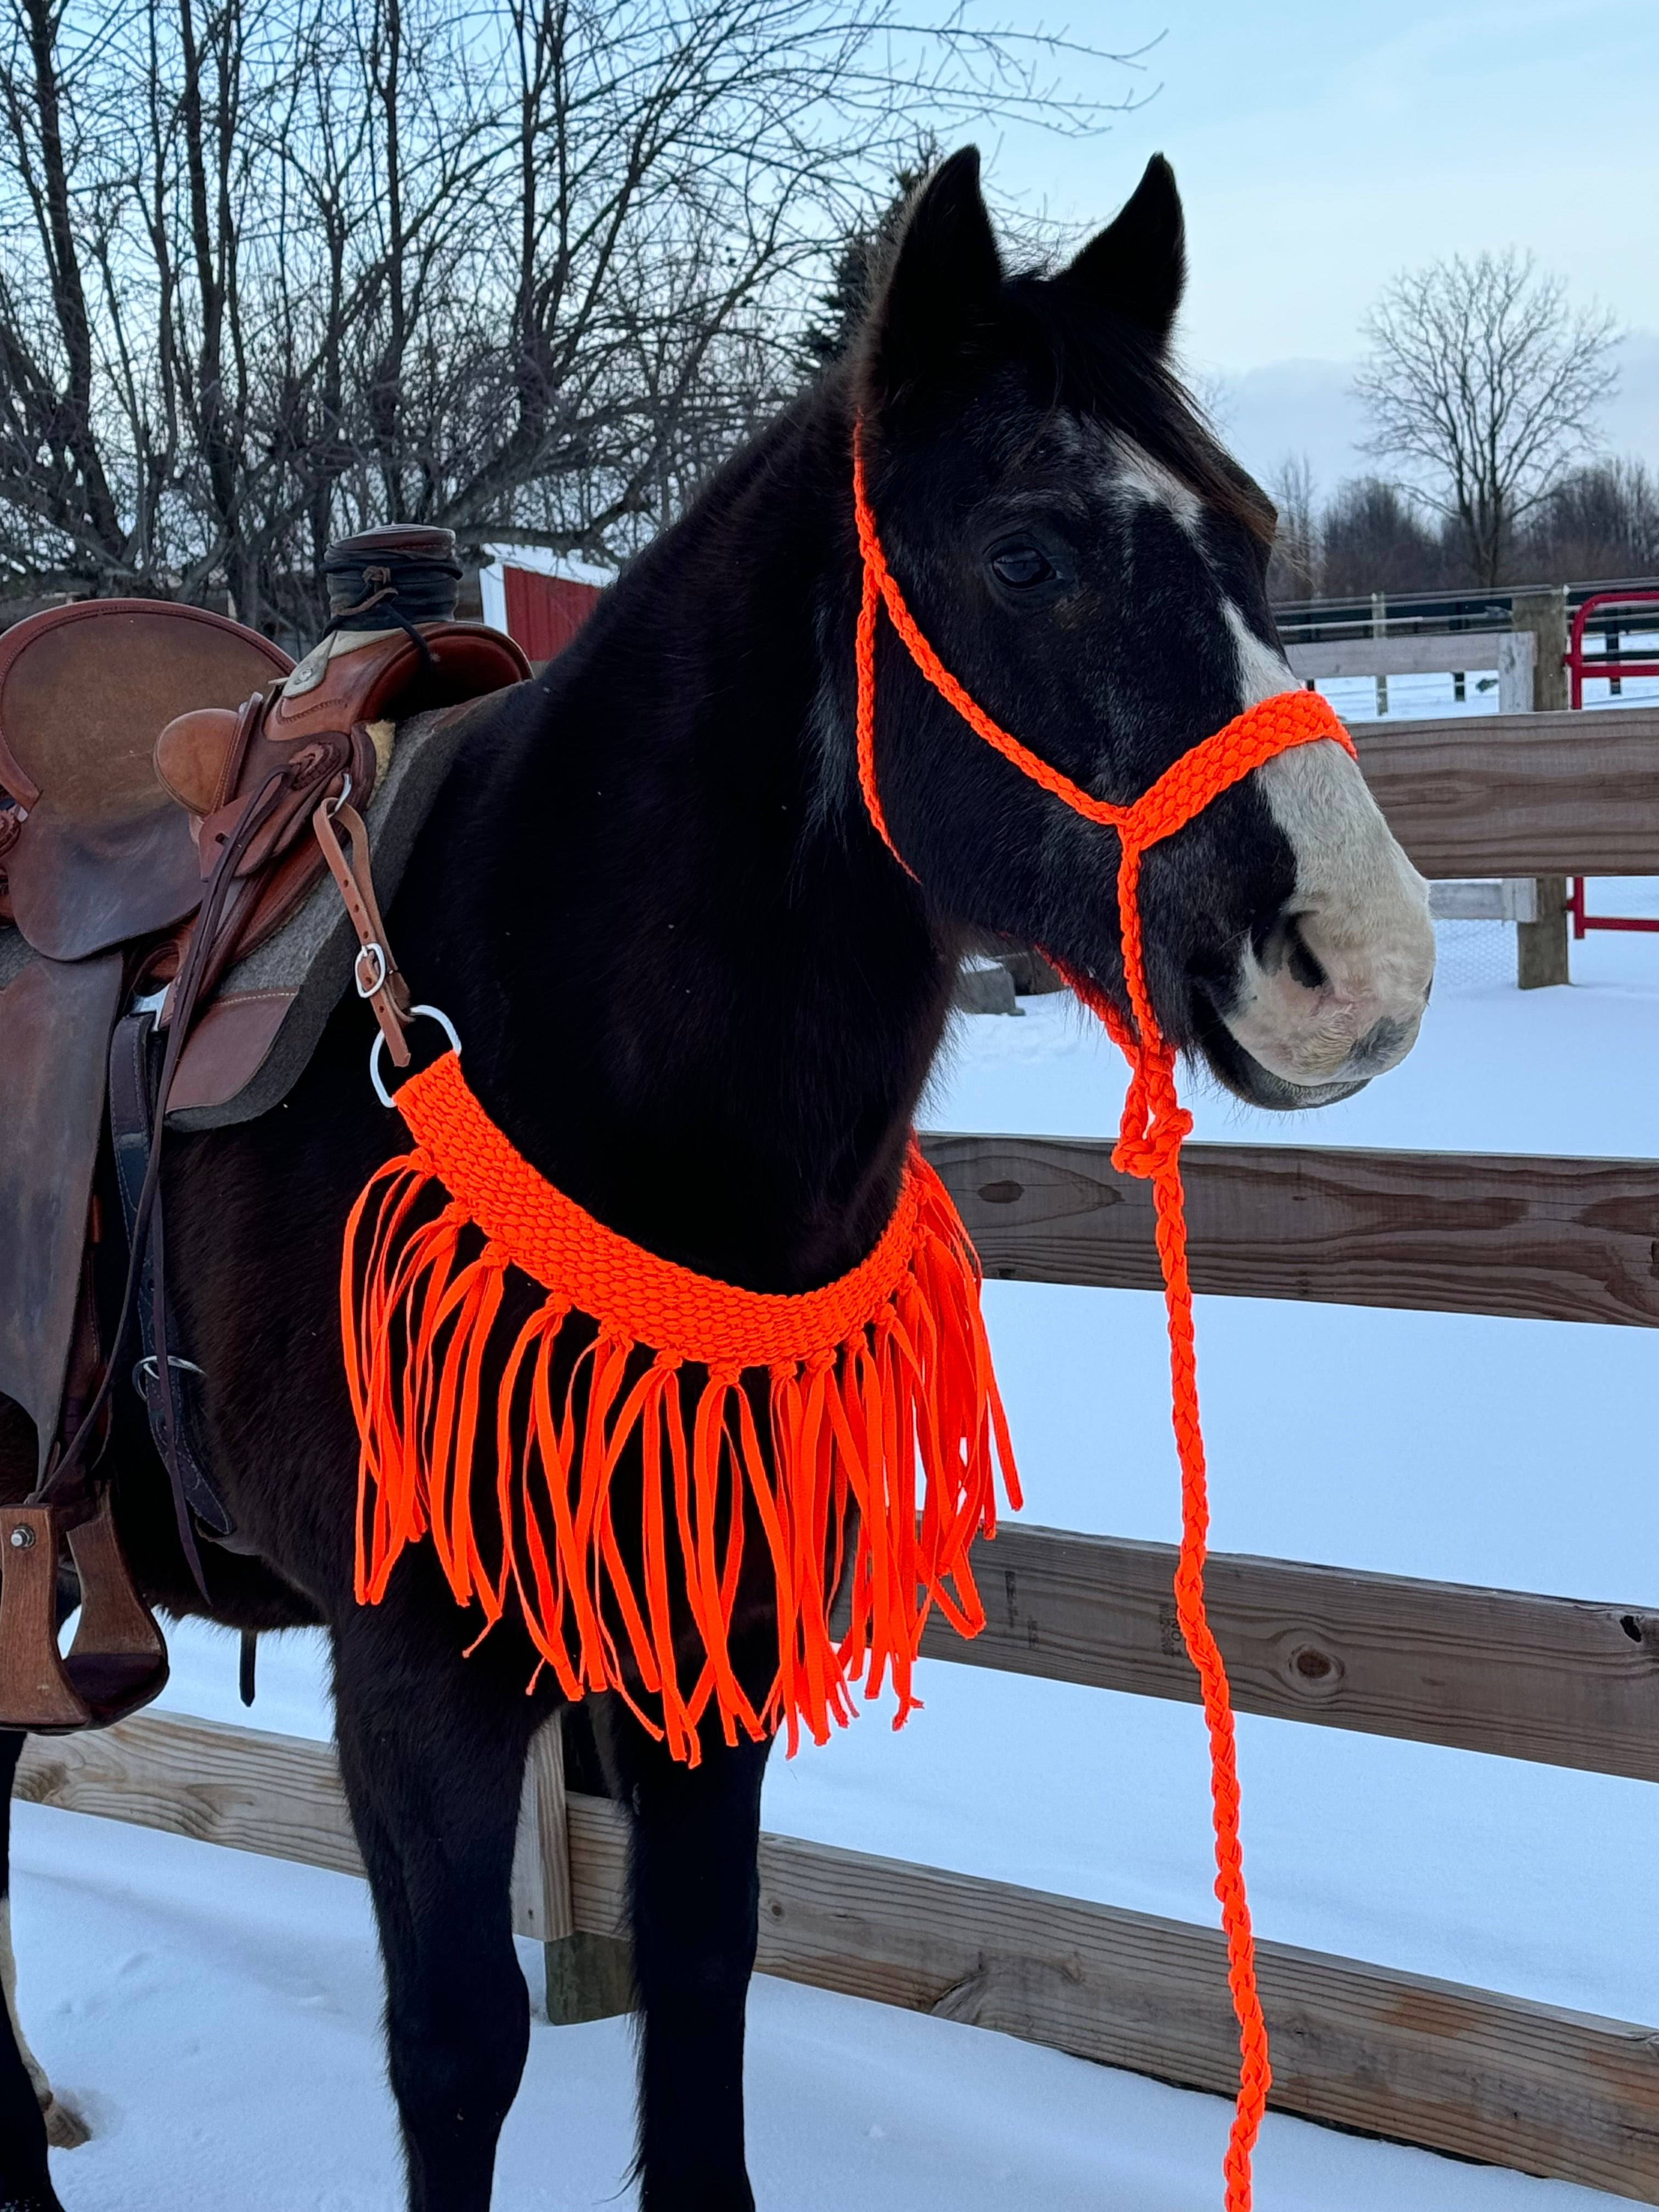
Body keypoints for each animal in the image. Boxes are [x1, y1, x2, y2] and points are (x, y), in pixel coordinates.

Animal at [0, 147, 1433, 2203]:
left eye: (1247, 537)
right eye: (1028, 555)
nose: (1364, 971)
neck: (556, 1042)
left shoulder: (716, 1628)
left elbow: (699, 1982)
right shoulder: (414, 1667)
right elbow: (459, 2046)